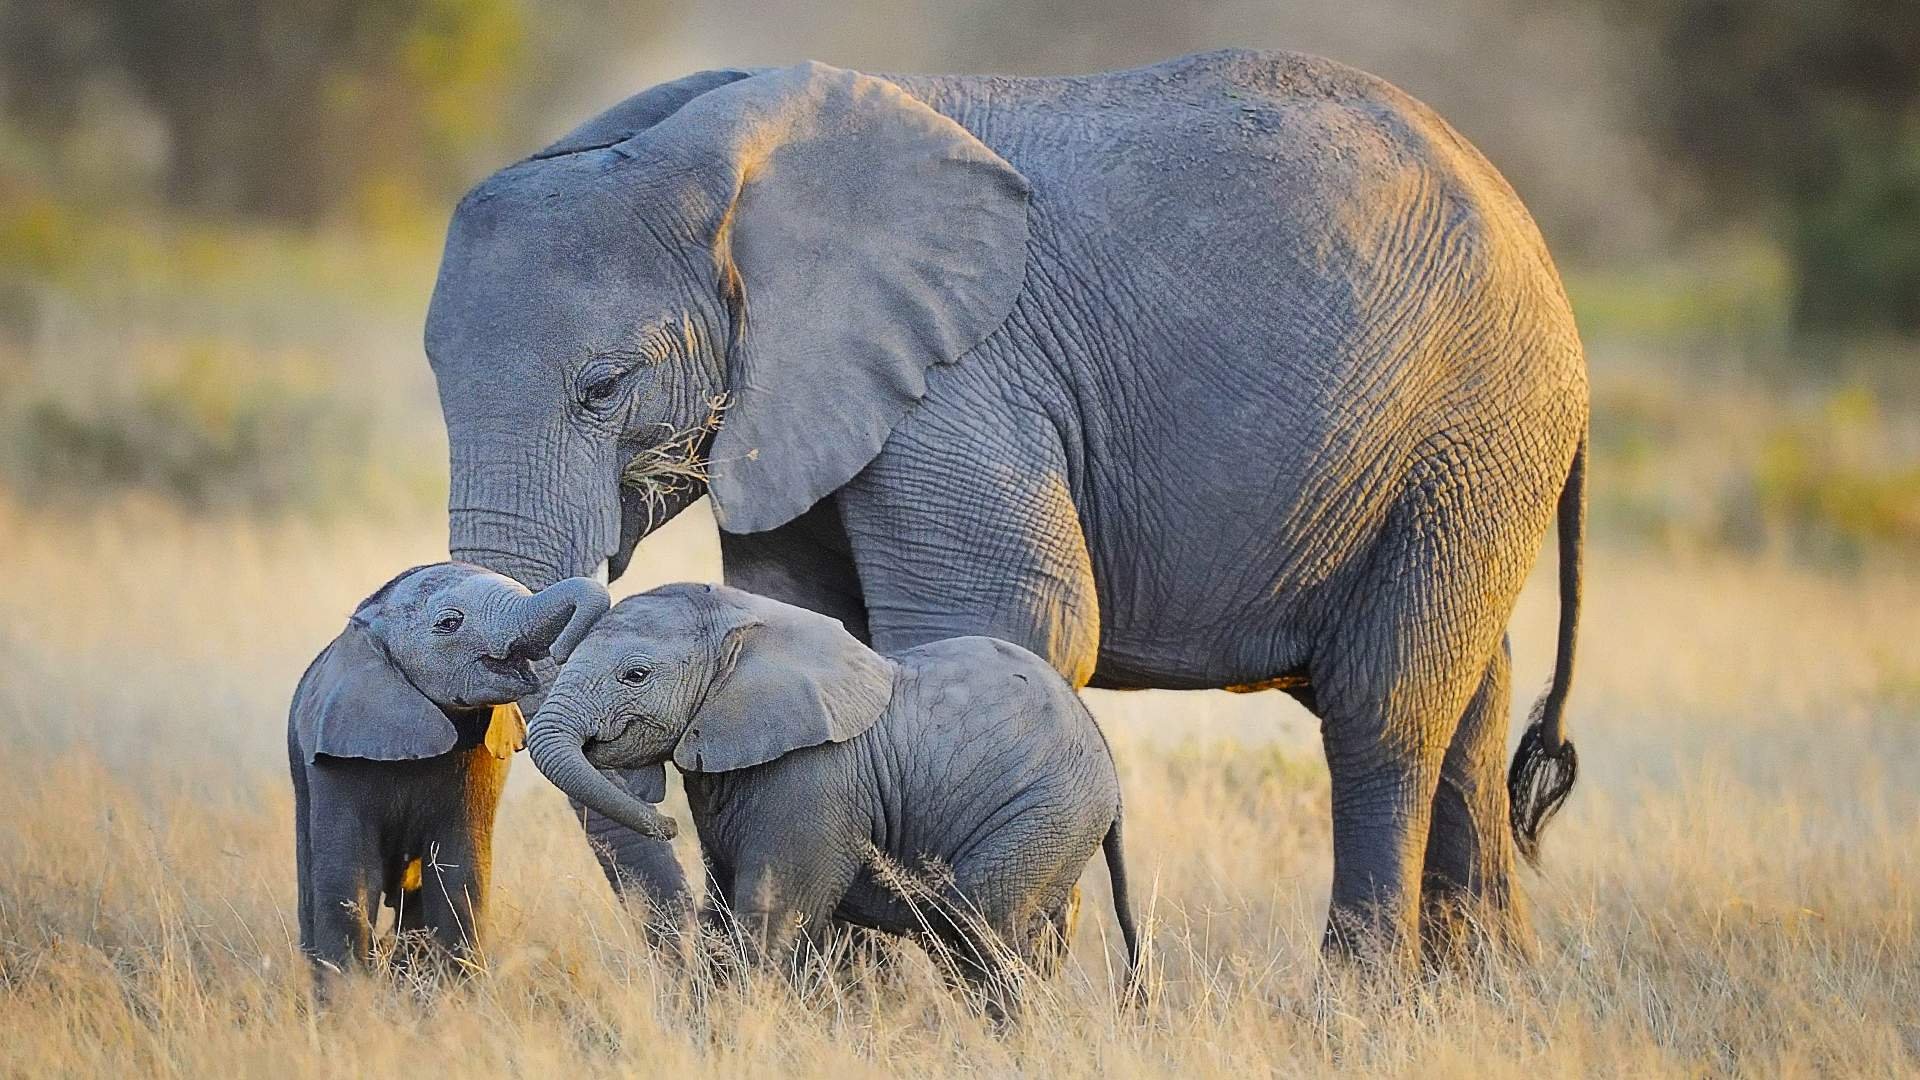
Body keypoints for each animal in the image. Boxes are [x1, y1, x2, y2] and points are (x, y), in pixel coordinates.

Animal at [286, 568, 606, 980]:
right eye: (450, 623)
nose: (562, 651)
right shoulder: (336, 756)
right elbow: (349, 879)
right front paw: (349, 995)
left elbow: (459, 871)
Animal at [428, 48, 1582, 957]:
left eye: (603, 388)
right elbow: (817, 628)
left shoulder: (962, 381)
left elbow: (1011, 621)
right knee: (1469, 705)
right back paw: (1480, 997)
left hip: (1473, 428)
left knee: (1386, 711)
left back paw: (1354, 1005)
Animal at [526, 580, 1136, 1006]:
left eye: (635, 675)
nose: (666, 824)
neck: (747, 624)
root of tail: (1105, 757)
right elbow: (721, 911)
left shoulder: (815, 780)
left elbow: (771, 916)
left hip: (1045, 814)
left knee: (978, 929)